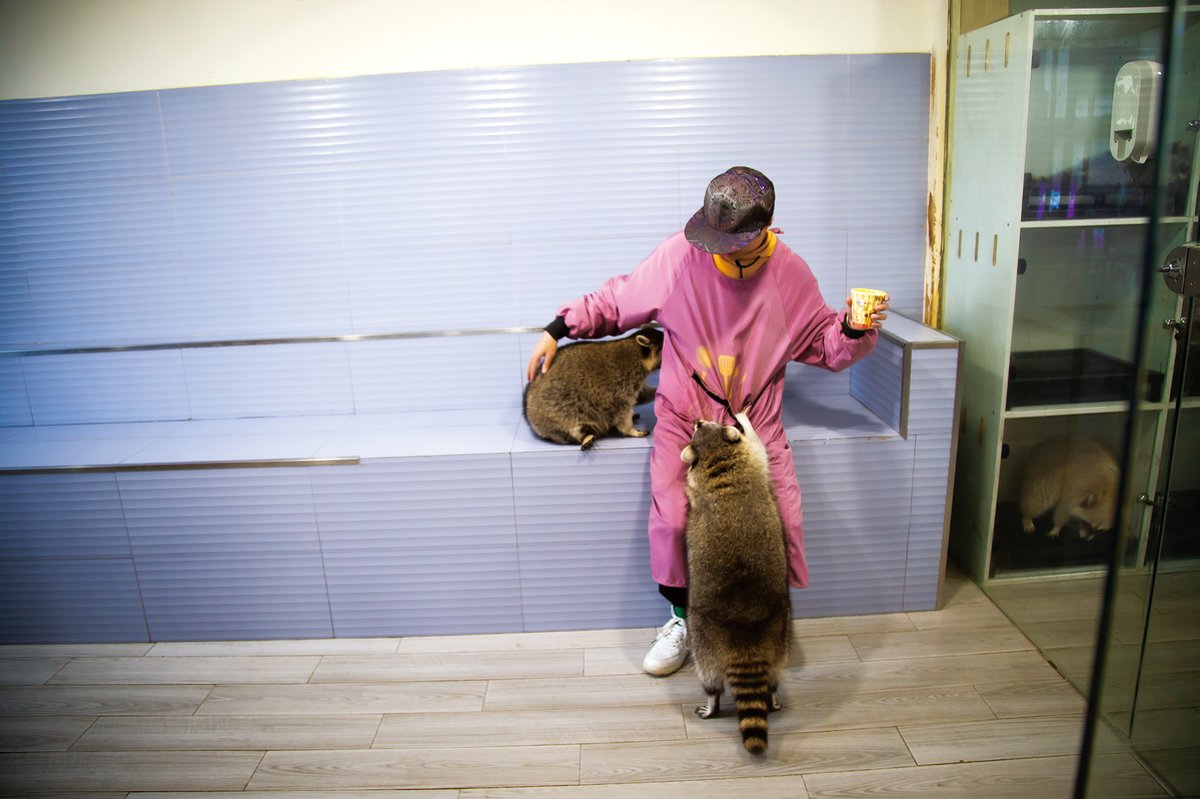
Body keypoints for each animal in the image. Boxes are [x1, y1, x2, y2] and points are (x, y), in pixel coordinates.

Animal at [523, 326, 667, 448]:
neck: (636, 350)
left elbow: (641, 396)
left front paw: (657, 391)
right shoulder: (622, 386)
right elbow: (622, 413)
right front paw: (629, 430)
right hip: (556, 417)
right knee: (574, 427)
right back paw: (585, 435)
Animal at [681, 412, 792, 758]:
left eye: (701, 426)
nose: (697, 418)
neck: (718, 458)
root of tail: (745, 638)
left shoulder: (750, 461)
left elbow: (759, 446)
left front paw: (743, 419)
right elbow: (760, 448)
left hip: (710, 636)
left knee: (713, 677)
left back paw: (718, 699)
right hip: (773, 631)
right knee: (768, 673)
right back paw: (764, 693)